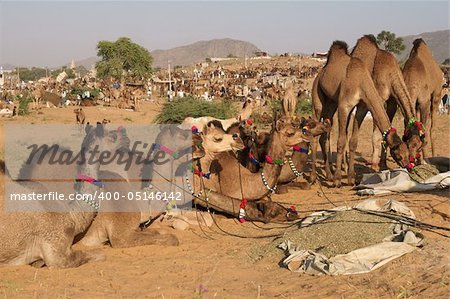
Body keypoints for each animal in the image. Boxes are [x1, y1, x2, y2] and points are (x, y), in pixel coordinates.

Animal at [312, 41, 410, 188]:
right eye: (399, 155)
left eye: (408, 153)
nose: (408, 166)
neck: (361, 82)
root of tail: (320, 73)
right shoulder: (344, 106)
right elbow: (341, 142)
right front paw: (338, 180)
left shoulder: (362, 107)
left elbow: (353, 142)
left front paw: (351, 179)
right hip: (317, 97)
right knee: (313, 134)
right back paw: (313, 178)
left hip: (331, 103)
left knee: (323, 136)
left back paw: (328, 175)